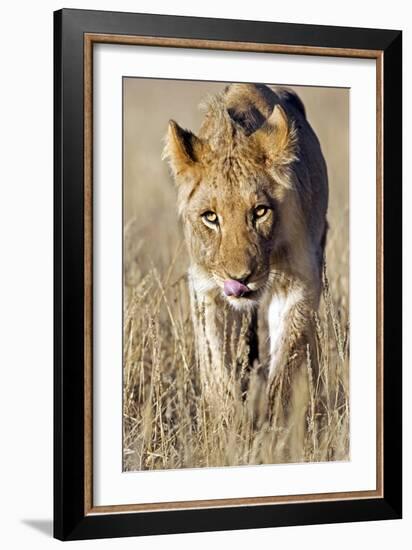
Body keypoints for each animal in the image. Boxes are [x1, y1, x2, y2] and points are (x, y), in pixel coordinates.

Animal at [164, 83, 328, 396]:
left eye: (260, 211)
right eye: (210, 217)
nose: (240, 279)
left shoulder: (298, 280)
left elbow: (287, 363)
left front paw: (275, 408)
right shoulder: (207, 287)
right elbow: (216, 366)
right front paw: (226, 407)